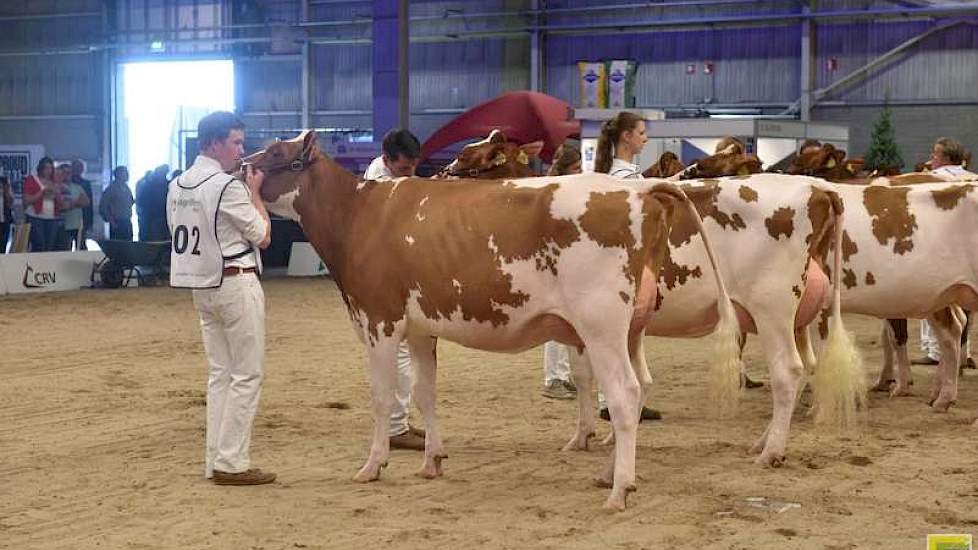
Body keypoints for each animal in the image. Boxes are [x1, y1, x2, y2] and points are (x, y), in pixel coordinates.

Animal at [244, 132, 740, 512]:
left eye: (275, 153)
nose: (241, 166)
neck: (357, 214)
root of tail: (640, 190)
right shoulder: (421, 327)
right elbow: (424, 393)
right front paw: (432, 461)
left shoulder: (378, 318)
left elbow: (383, 396)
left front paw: (372, 465)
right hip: (632, 327)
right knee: (640, 388)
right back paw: (610, 474)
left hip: (601, 326)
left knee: (624, 394)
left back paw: (618, 491)